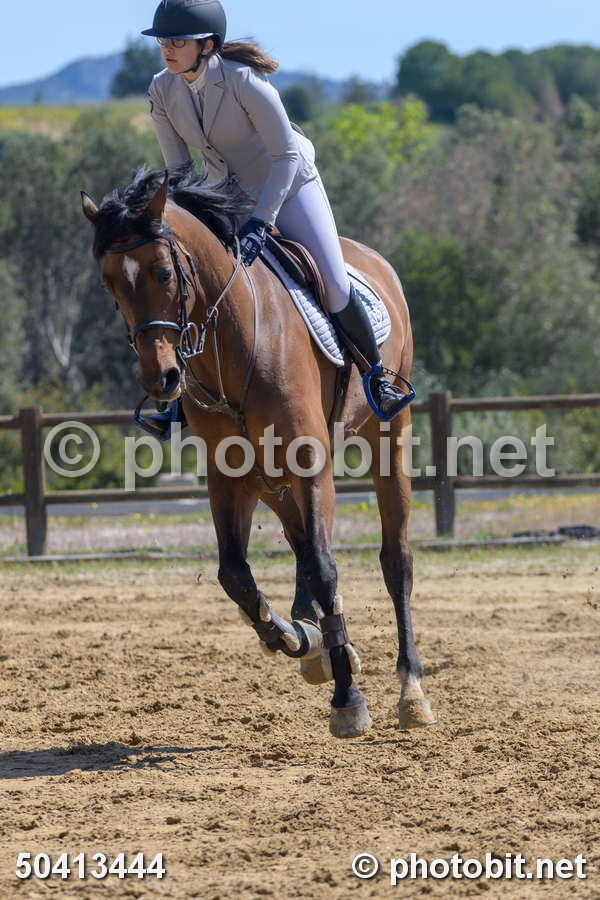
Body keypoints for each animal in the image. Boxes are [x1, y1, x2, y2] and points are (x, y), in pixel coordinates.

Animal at [80, 165, 435, 739]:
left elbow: (324, 567)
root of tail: (372, 258)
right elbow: (236, 575)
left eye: (163, 273)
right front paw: (295, 637)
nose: (162, 380)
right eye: (110, 283)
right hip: (269, 474)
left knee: (393, 558)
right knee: (300, 540)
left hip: (386, 438)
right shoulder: (230, 474)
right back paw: (319, 639)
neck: (233, 339)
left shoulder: (309, 461)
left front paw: (348, 699)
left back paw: (410, 690)